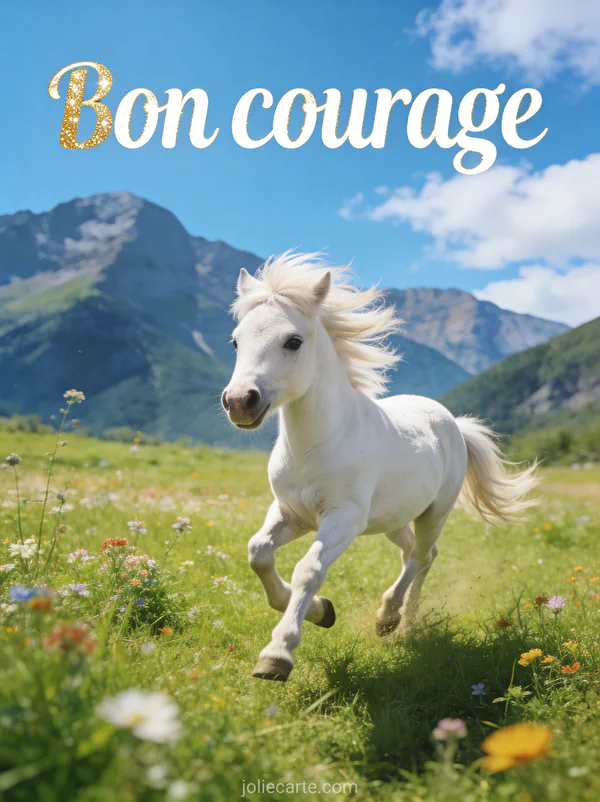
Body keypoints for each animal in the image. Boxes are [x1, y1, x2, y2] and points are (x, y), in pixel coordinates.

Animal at [221, 253, 538, 682]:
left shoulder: (343, 519)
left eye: (293, 341)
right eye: (236, 340)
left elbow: (308, 570)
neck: (316, 445)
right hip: (393, 519)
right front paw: (323, 611)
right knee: (420, 555)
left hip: (435, 511)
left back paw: (390, 620)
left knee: (421, 555)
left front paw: (278, 655)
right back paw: (406, 622)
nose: (240, 401)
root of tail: (454, 423)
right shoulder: (291, 514)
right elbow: (258, 553)